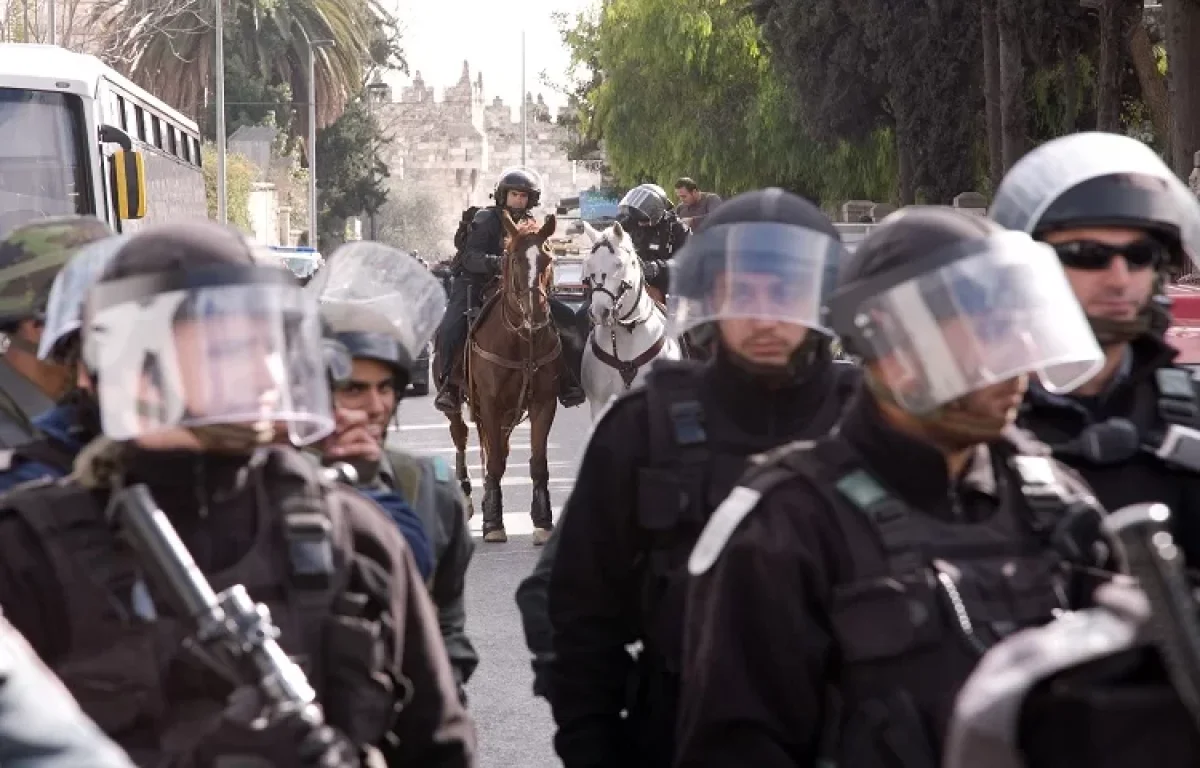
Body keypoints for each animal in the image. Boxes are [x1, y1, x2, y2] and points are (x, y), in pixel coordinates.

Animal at [444, 211, 559, 547]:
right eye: (514, 259)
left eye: (548, 258)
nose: (536, 313)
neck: (520, 340)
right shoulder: (491, 404)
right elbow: (494, 460)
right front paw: (493, 521)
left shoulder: (543, 404)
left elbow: (537, 463)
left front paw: (543, 521)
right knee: (461, 437)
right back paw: (468, 497)